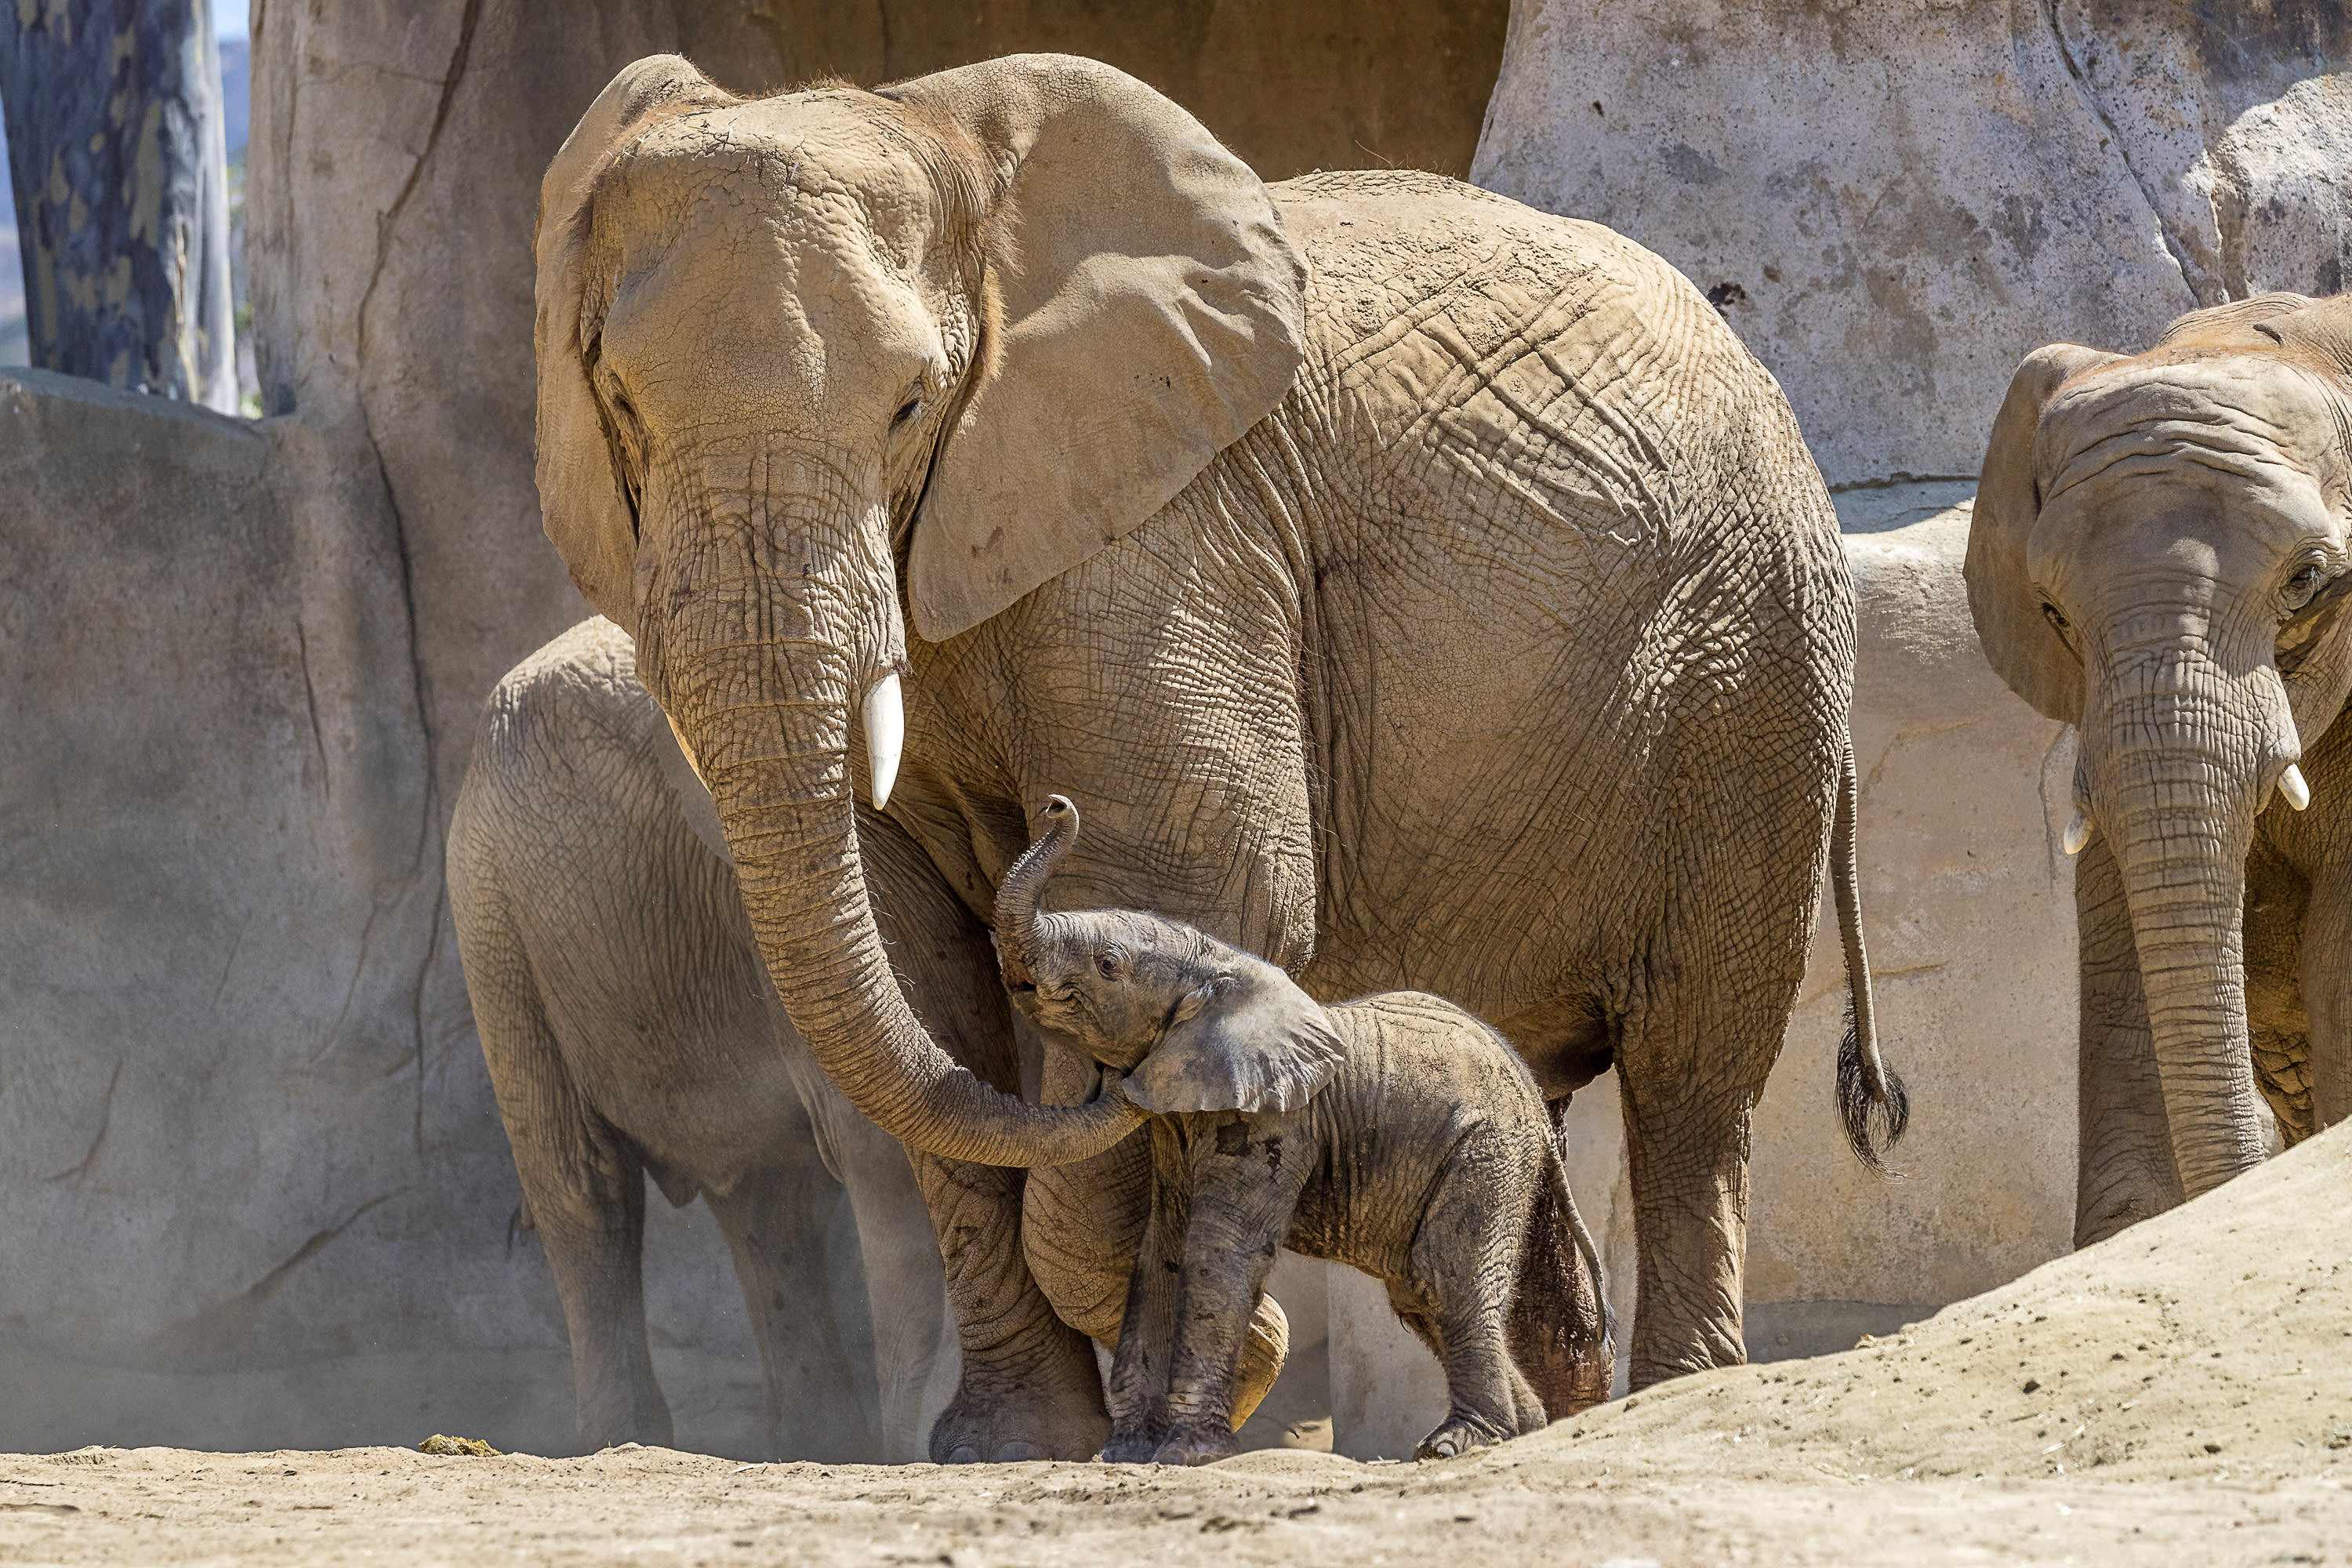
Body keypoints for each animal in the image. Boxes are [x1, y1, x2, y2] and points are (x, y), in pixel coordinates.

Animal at [993, 799, 1618, 1476]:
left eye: (1107, 965)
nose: (1059, 805)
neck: (1220, 964)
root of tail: (1531, 1088)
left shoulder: (1278, 1120)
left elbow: (1219, 1251)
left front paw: (1188, 1455)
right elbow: (1161, 1250)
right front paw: (1124, 1456)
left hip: (1486, 1148)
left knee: (1441, 1276)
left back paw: (1457, 1443)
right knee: (1418, 1294)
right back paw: (1524, 1431)